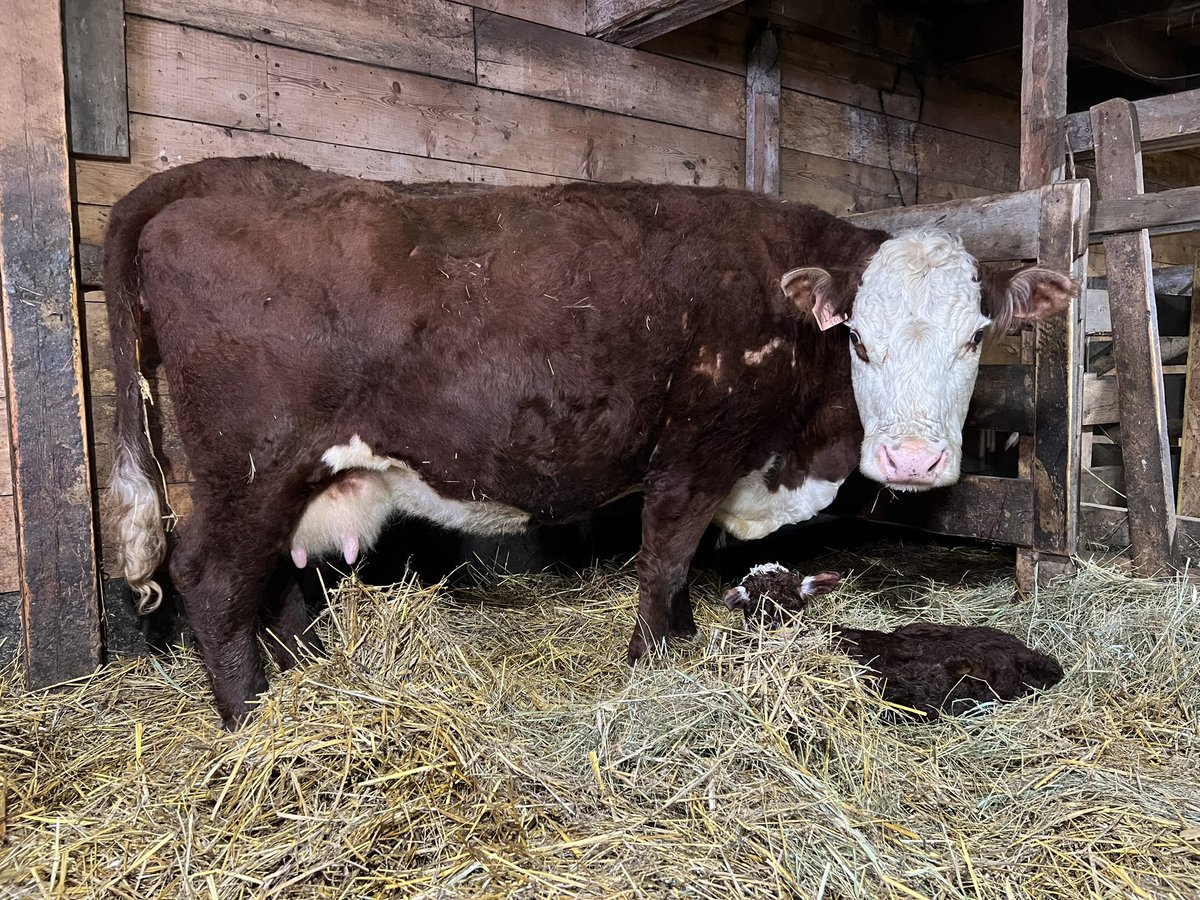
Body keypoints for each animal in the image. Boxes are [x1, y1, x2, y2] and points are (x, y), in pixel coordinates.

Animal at [102, 156, 1075, 727]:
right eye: (861, 342)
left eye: (976, 337)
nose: (912, 460)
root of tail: (230, 177)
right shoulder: (695, 447)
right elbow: (666, 558)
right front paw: (655, 664)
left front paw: (681, 643)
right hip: (249, 465)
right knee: (211, 576)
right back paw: (251, 721)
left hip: (293, 477)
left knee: (274, 581)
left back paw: (303, 678)